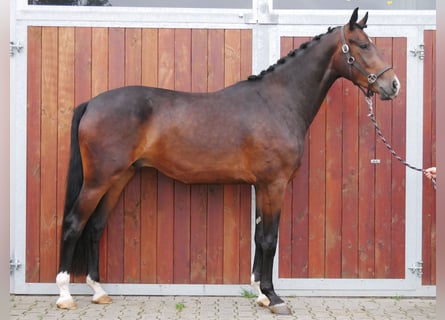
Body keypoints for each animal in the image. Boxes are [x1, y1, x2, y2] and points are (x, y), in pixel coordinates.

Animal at [56, 8, 398, 316]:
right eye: (363, 45)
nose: (392, 85)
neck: (277, 102)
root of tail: (91, 103)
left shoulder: (262, 185)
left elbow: (259, 237)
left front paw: (260, 294)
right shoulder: (274, 185)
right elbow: (270, 239)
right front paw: (274, 297)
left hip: (119, 177)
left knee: (95, 226)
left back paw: (98, 291)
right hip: (98, 180)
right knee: (74, 223)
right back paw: (65, 295)